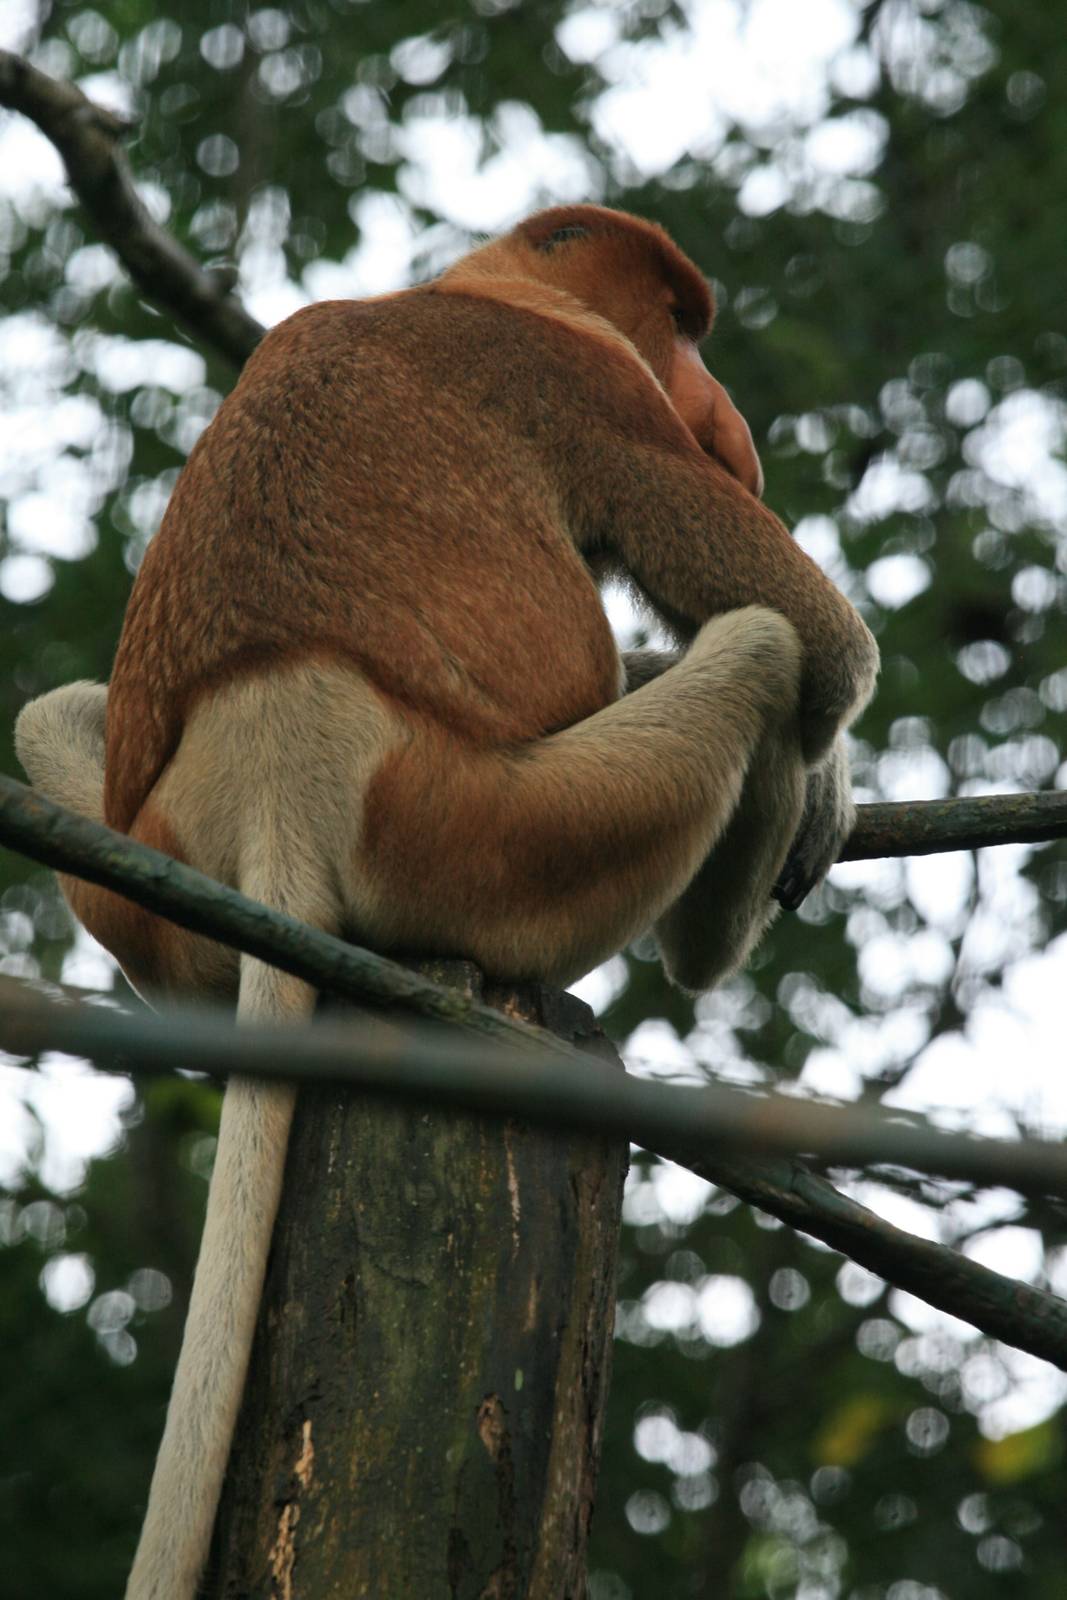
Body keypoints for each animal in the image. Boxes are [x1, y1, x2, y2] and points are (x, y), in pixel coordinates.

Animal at [14, 203, 878, 1599]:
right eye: (679, 325)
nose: (723, 416)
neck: (470, 287)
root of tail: (283, 781)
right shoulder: (592, 386)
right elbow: (823, 642)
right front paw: (828, 780)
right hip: (498, 838)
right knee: (760, 643)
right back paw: (700, 941)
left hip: (148, 882)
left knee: (51, 712)